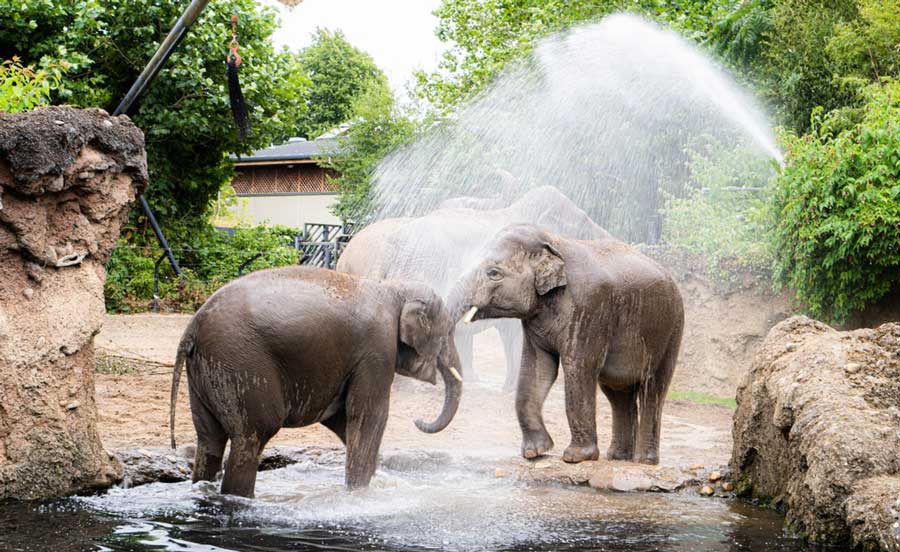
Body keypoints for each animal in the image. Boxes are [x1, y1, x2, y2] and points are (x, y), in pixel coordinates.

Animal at [168, 265, 462, 497]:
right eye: (449, 331)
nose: (418, 421)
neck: (393, 289)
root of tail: (192, 328)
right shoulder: (377, 350)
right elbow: (368, 415)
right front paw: (359, 496)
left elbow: (340, 420)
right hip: (239, 361)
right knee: (252, 436)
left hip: (207, 372)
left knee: (210, 439)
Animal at [449, 224, 683, 465]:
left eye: (494, 273)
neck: (553, 242)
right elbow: (538, 368)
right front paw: (535, 452)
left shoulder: (589, 309)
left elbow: (577, 368)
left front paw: (576, 457)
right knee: (617, 393)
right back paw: (618, 457)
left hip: (671, 332)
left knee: (652, 390)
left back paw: (644, 461)